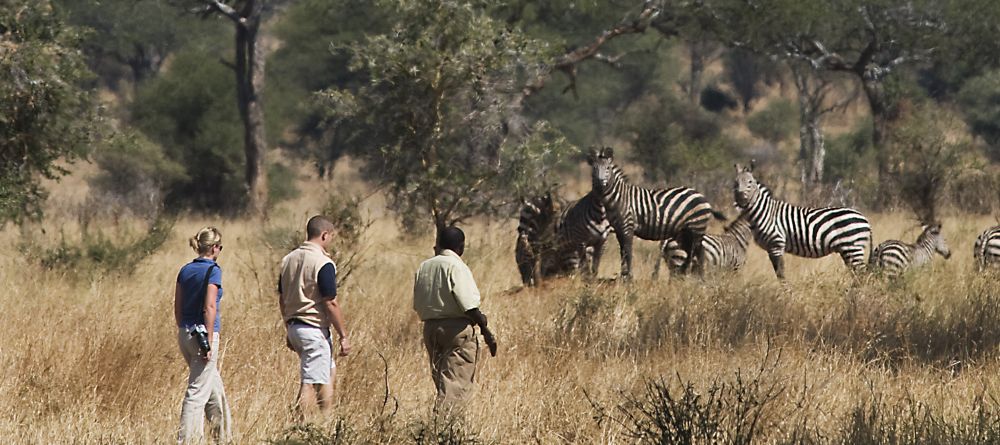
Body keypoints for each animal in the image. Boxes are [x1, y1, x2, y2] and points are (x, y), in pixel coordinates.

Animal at [732, 161, 872, 280]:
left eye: (750, 182)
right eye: (736, 182)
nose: (739, 197)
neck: (764, 211)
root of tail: (864, 219)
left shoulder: (776, 244)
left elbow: (780, 273)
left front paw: (786, 292)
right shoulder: (771, 248)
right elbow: (779, 273)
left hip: (853, 247)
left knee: (862, 275)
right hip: (848, 250)